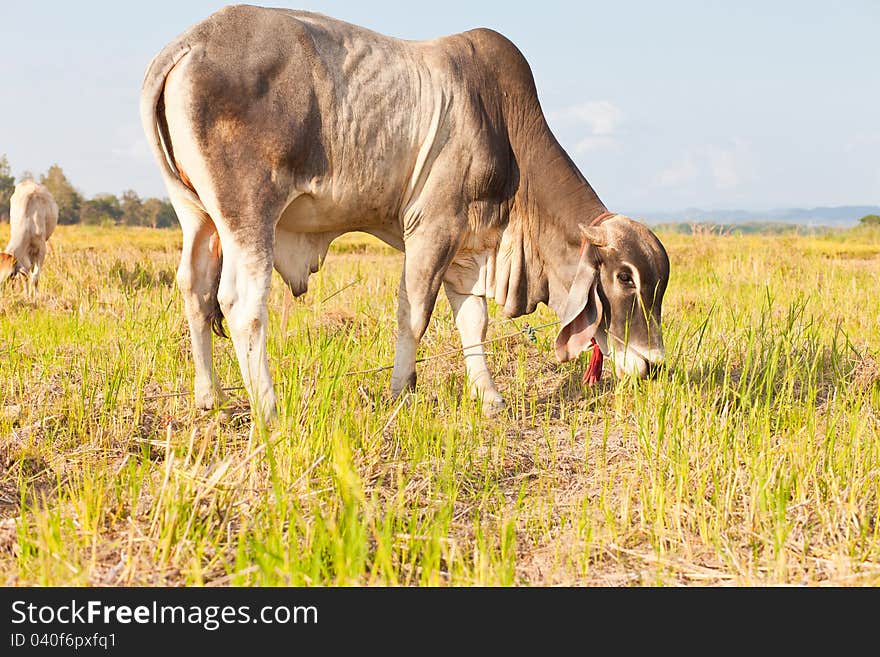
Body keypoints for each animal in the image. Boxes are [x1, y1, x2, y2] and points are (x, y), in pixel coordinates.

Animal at [141, 5, 672, 420]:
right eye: (625, 278)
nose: (653, 366)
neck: (504, 124)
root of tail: (187, 44)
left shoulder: (470, 248)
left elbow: (473, 322)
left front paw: (490, 398)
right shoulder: (433, 229)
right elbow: (414, 314)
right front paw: (400, 391)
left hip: (198, 217)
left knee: (195, 288)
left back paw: (209, 397)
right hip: (248, 214)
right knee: (241, 303)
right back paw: (268, 408)